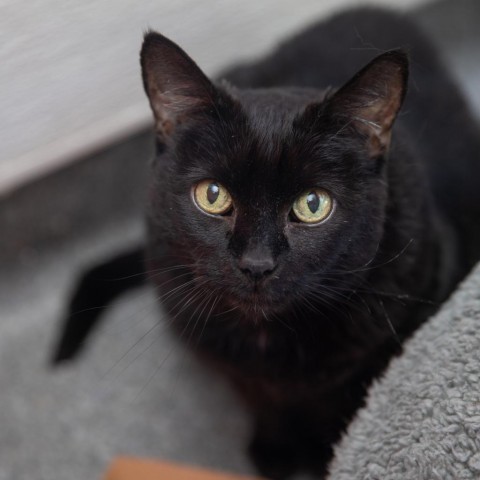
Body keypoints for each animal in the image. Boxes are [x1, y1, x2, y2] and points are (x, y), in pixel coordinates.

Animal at [52, 8, 480, 480]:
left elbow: (349, 405)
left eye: (313, 204)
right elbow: (258, 397)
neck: (268, 340)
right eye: (212, 195)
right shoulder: (231, 363)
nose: (256, 264)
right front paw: (276, 450)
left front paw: (328, 453)